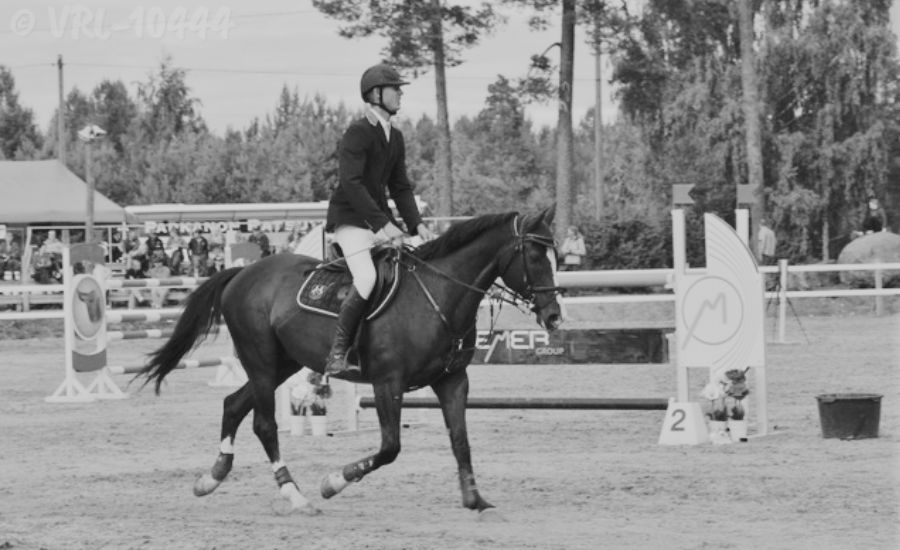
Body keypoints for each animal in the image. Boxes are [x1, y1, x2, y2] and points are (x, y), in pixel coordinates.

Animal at [135, 208, 564, 516]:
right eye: (534, 255)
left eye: (556, 254)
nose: (554, 317)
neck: (439, 295)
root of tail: (243, 271)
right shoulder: (388, 383)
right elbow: (390, 448)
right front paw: (332, 482)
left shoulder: (452, 380)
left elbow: (460, 441)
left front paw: (476, 501)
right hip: (261, 362)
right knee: (263, 424)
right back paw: (296, 495)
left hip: (282, 364)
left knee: (233, 405)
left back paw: (212, 478)